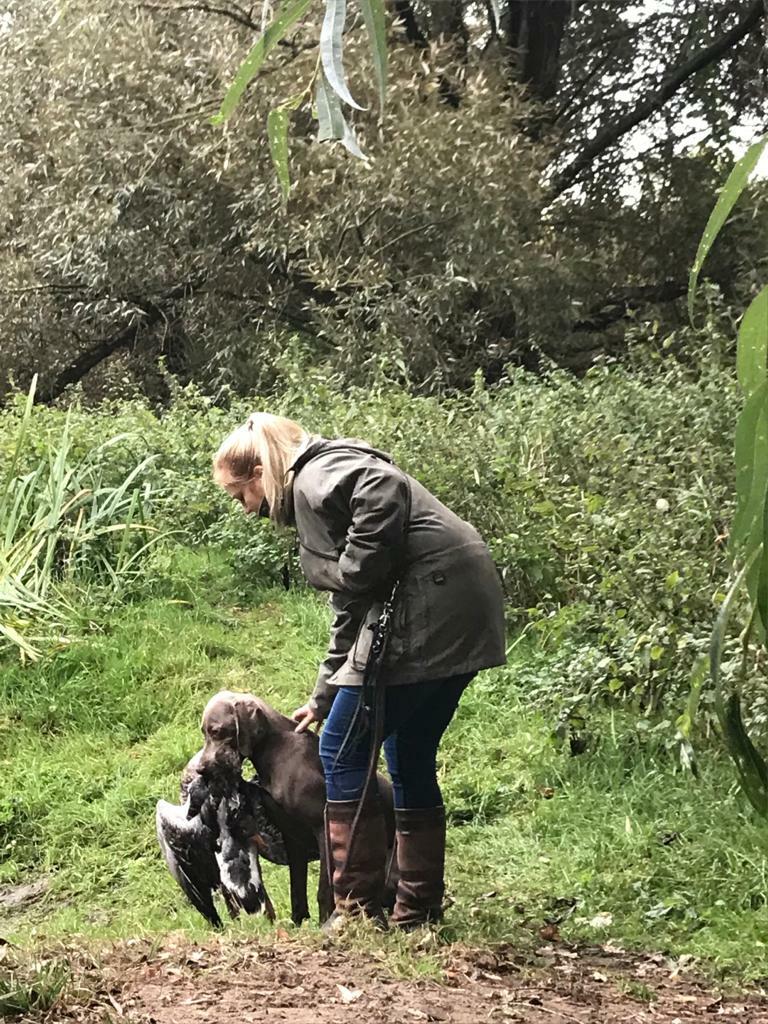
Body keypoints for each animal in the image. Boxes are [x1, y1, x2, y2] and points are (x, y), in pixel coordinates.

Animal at [195, 692, 399, 925]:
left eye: (216, 731)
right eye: (204, 731)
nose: (200, 770)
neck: (276, 751)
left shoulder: (323, 828)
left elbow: (324, 889)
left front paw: (323, 922)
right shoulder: (292, 836)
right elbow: (297, 889)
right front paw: (297, 923)